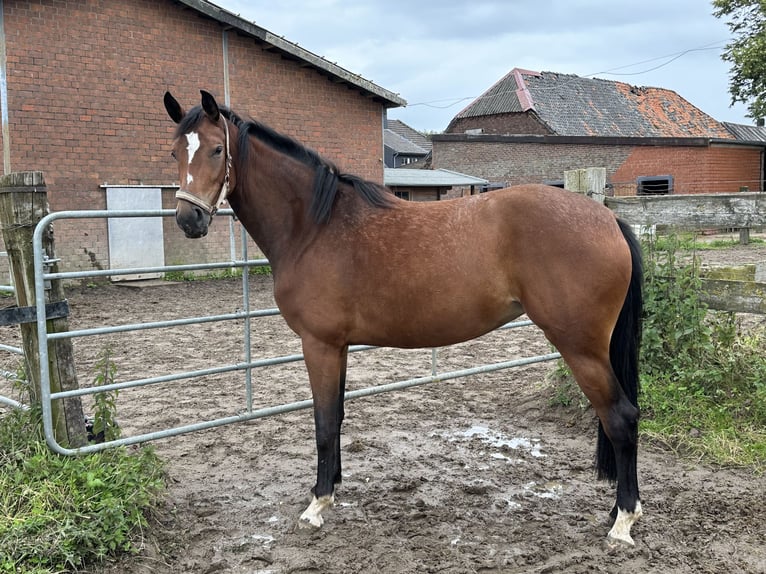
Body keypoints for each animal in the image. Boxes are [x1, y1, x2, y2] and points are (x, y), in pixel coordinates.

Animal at [165, 91, 644, 548]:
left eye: (215, 149)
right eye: (175, 152)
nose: (189, 220)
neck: (315, 226)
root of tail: (608, 219)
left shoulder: (318, 344)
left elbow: (323, 422)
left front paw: (318, 503)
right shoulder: (338, 347)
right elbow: (337, 415)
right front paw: (333, 487)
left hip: (580, 347)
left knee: (620, 418)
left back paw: (622, 521)